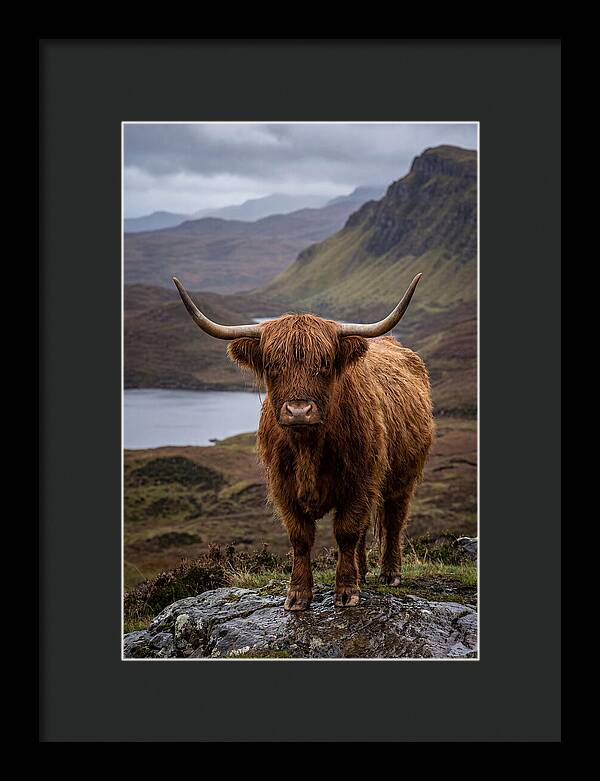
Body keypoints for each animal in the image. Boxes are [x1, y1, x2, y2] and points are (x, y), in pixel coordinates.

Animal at [173, 275, 434, 611]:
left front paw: (346, 591)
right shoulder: (283, 487)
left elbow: (346, 531)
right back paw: (363, 573)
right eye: (272, 365)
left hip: (403, 477)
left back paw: (390, 574)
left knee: (393, 520)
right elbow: (301, 537)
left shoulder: (360, 481)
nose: (299, 411)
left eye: (324, 363)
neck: (308, 447)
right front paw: (298, 595)